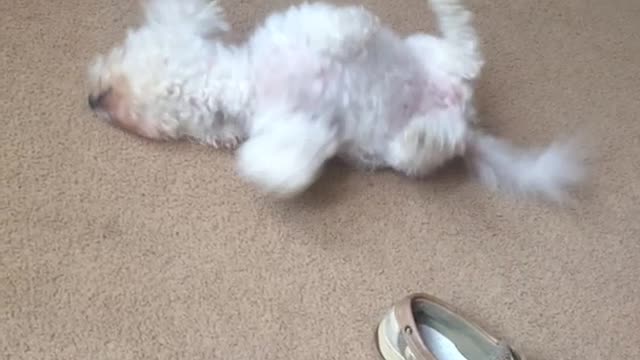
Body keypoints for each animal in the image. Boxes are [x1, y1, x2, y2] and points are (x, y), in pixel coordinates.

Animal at [89, 0, 584, 200]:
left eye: (121, 52)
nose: (92, 99)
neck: (248, 81)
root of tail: (463, 115)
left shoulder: (301, 26)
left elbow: (336, 25)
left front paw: (352, 31)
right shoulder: (287, 128)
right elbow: (284, 159)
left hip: (429, 53)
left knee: (467, 51)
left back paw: (448, 9)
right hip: (411, 153)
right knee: (425, 138)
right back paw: (423, 135)